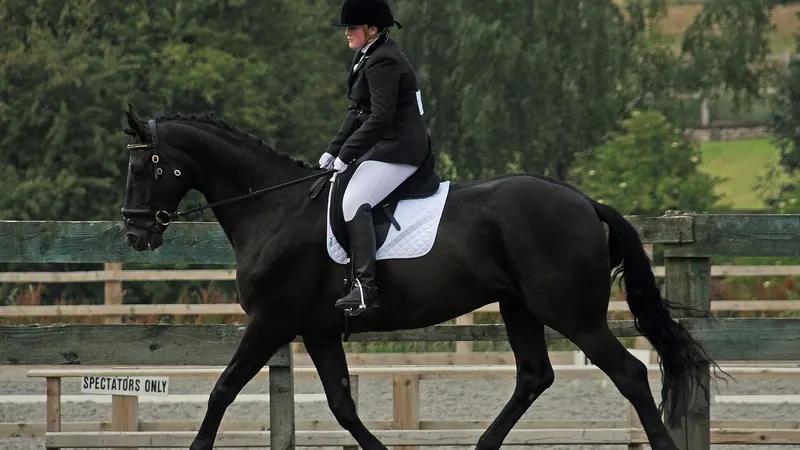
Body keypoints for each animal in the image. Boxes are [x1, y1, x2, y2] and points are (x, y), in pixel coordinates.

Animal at [120, 103, 718, 450]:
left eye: (145, 164)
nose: (134, 232)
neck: (275, 208)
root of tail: (584, 201)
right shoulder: (317, 329)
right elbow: (341, 405)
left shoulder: (273, 321)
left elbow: (222, 390)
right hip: (518, 306)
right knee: (533, 377)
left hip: (569, 311)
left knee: (629, 374)